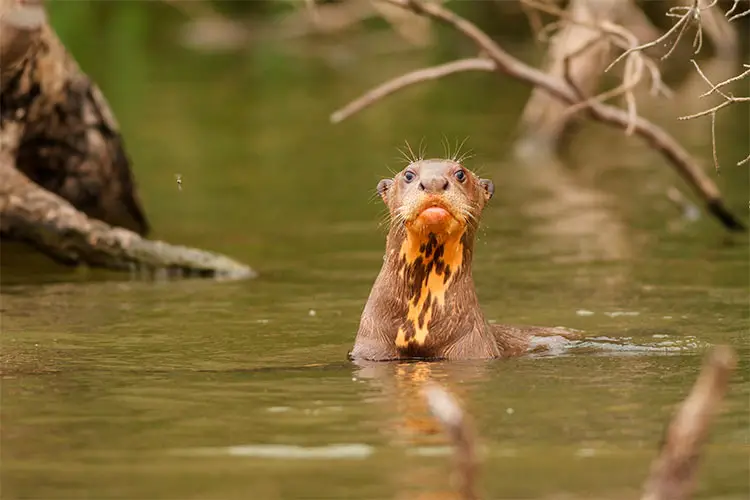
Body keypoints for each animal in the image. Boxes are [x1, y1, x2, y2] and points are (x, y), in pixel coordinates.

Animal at [352, 159, 580, 360]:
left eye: (460, 174)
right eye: (409, 174)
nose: (434, 182)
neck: (419, 328)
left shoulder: (470, 349)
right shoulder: (373, 348)